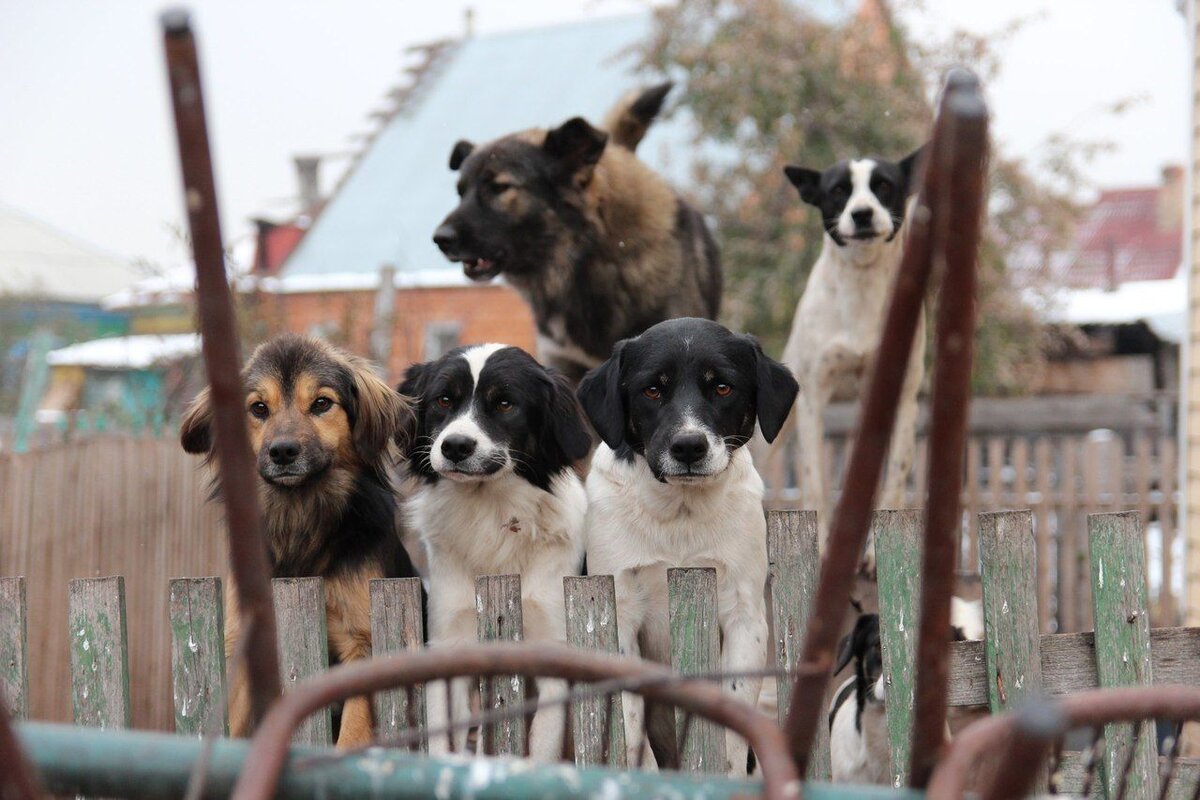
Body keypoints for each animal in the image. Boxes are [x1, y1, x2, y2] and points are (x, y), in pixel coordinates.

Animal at [175, 335, 422, 748]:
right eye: (258, 408)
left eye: (321, 403)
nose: (283, 452)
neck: (300, 518)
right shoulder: (245, 642)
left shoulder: (363, 642)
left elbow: (352, 731)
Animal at [400, 340, 592, 762]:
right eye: (443, 400)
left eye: (505, 403)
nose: (455, 446)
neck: (491, 513)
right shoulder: (448, 643)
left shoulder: (553, 653)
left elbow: (540, 746)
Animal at [578, 319, 801, 777]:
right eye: (651, 390)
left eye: (722, 387)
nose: (688, 446)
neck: (680, 512)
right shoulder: (620, 617)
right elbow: (629, 726)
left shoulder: (744, 618)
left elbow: (731, 724)